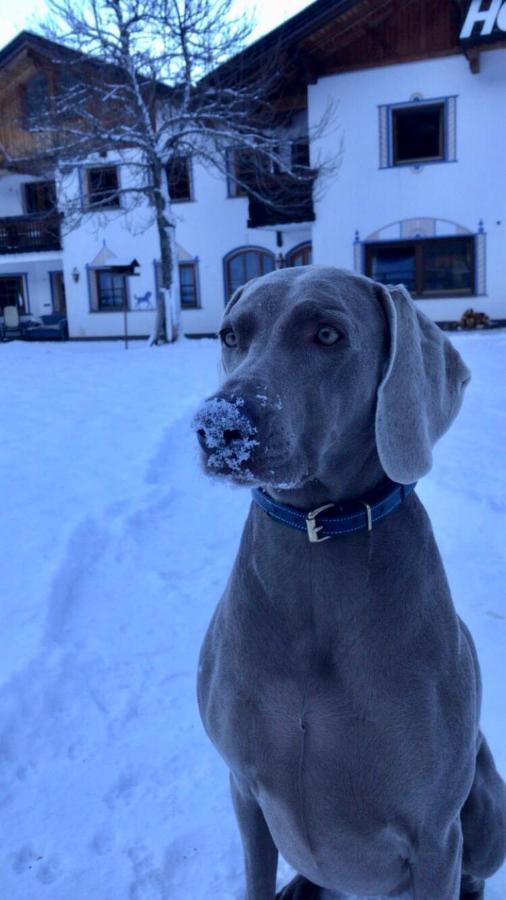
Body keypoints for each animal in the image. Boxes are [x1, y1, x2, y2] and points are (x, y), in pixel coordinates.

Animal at [194, 264, 506, 896]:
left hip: (488, 802)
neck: (317, 541)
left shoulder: (437, 837)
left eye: (328, 335)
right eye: (231, 335)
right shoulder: (246, 792)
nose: (219, 426)